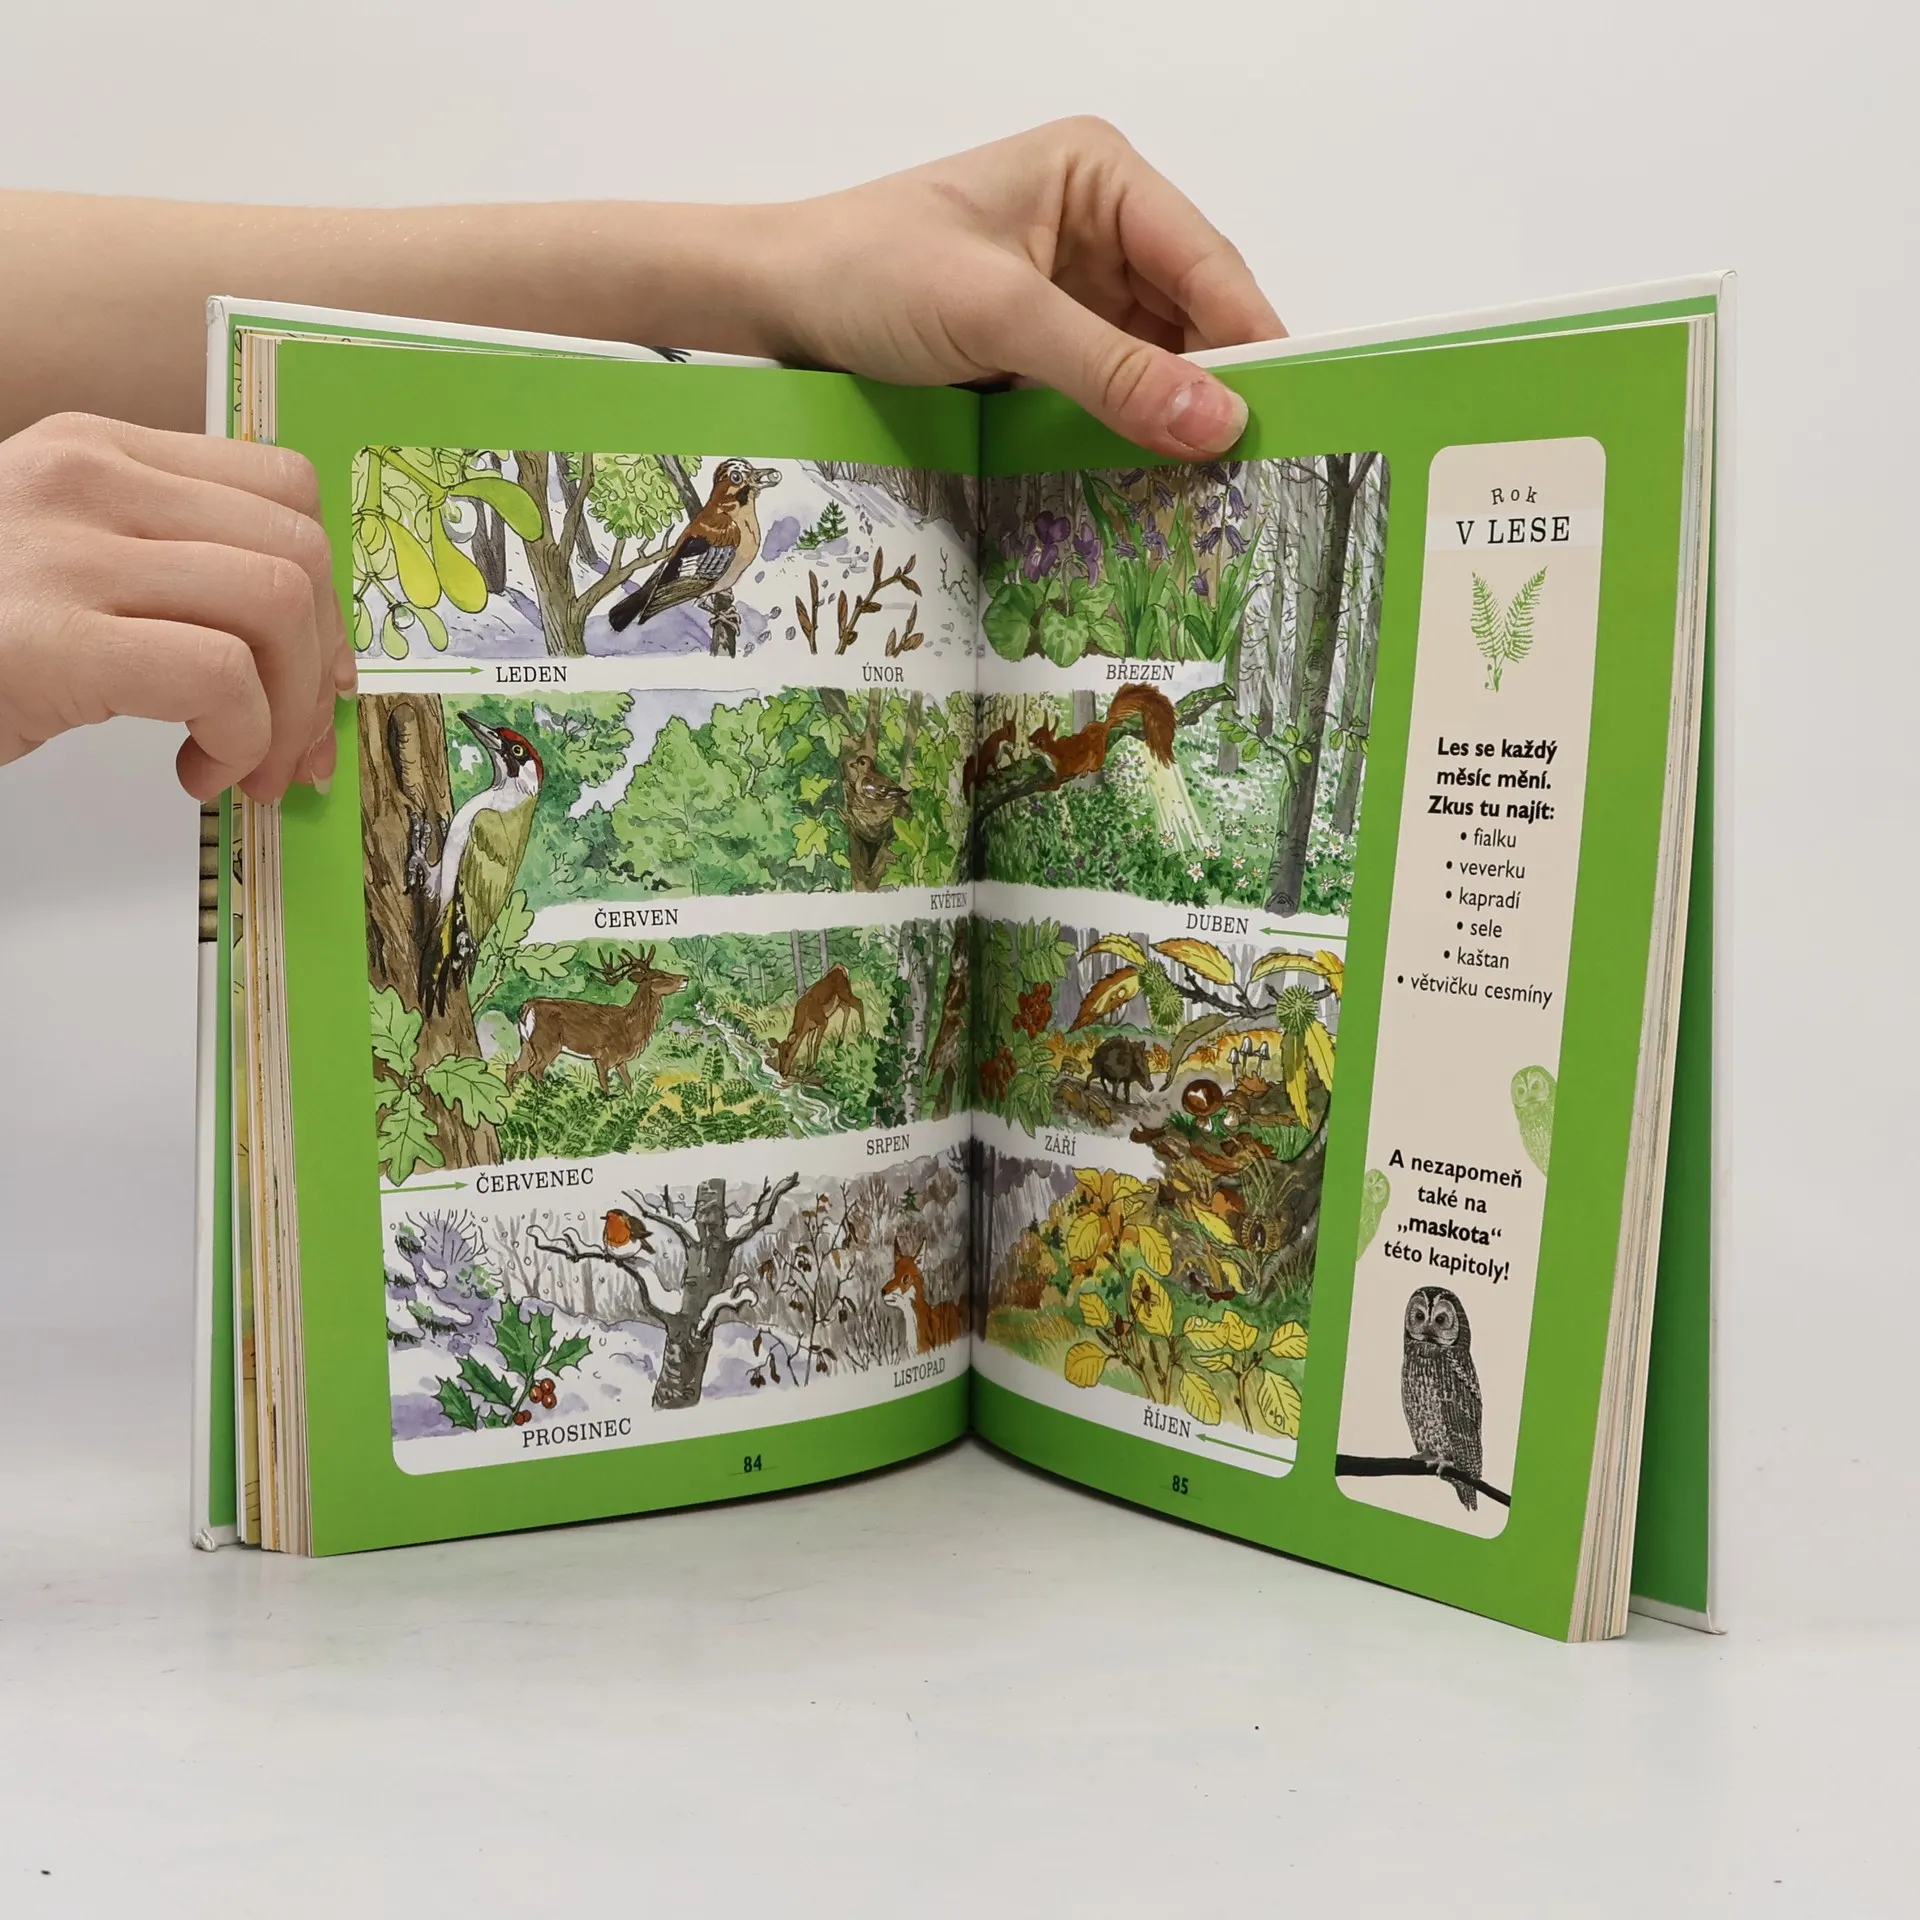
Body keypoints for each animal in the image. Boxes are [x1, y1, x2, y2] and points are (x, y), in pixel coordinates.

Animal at [508, 946, 688, 1094]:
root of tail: (526, 1007)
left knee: (513, 1067)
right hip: (547, 1044)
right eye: (659, 976)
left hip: (527, 1044)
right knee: (534, 1070)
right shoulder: (604, 1056)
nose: (685, 978)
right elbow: (605, 1087)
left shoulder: (620, 1060)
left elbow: (628, 1084)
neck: (630, 1026)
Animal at [1027, 684, 1177, 788]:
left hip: (1097, 755)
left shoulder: (1061, 770)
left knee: (1093, 765)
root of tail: (1104, 726)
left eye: (1041, 740)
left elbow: (1054, 787)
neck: (1050, 752)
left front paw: (1041, 786)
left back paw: (1084, 771)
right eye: (1033, 733)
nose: (1028, 740)